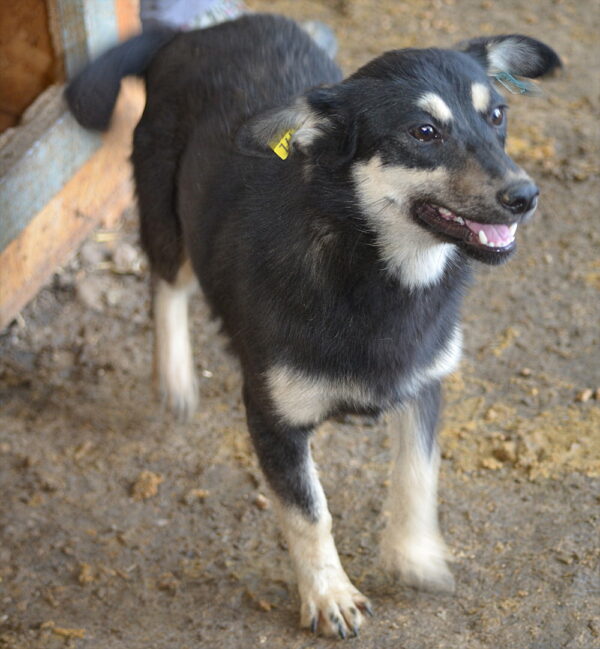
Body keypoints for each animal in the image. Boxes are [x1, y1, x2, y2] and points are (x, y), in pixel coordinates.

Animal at [67, 15, 564, 636]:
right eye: (424, 131)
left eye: (497, 115)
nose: (525, 196)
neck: (372, 270)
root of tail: (189, 31)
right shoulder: (271, 417)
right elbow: (309, 511)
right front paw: (329, 594)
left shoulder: (424, 383)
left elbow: (417, 474)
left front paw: (413, 554)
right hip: (167, 210)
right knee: (166, 285)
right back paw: (176, 378)